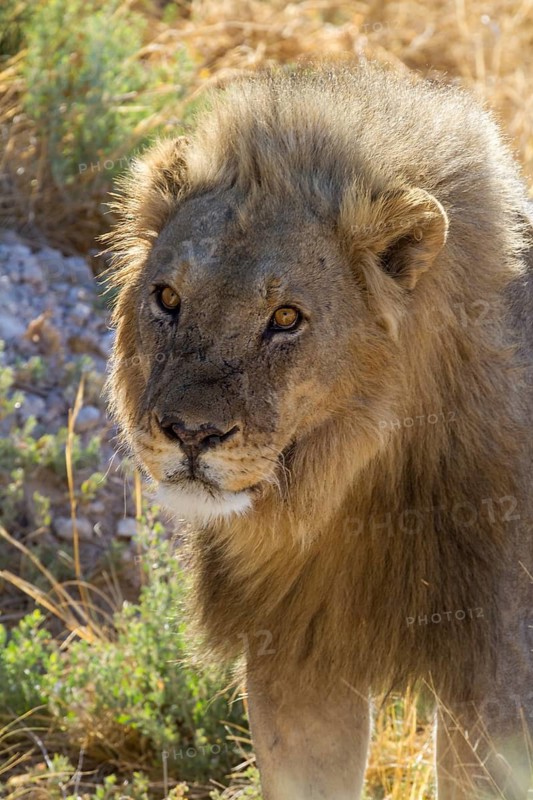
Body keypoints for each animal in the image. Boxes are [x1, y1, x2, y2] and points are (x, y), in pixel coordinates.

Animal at [104, 63, 533, 798]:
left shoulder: (500, 687)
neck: (355, 491)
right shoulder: (297, 662)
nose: (190, 432)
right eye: (167, 299)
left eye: (285, 318)